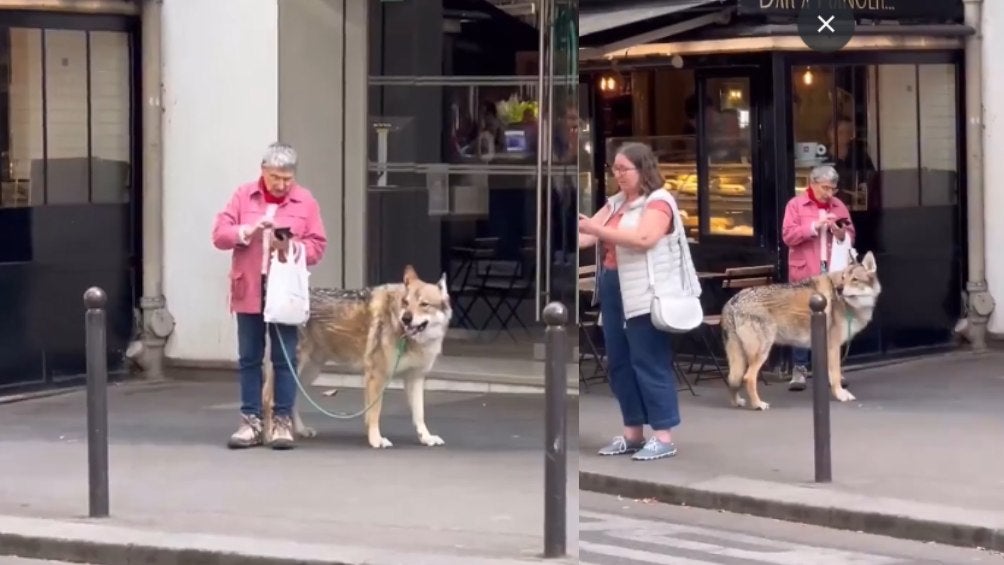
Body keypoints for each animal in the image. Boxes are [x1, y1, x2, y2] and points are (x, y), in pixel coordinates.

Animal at [267, 266, 455, 451]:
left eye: (424, 304)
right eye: (406, 303)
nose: (406, 318)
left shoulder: (415, 378)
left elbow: (419, 415)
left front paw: (426, 438)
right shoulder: (376, 376)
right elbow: (375, 414)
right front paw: (376, 440)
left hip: (308, 372)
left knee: (291, 399)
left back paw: (300, 430)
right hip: (292, 369)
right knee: (269, 399)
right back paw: (271, 437)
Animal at [722, 251, 879, 411]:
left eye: (854, 279)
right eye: (843, 278)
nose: (839, 289)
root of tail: (732, 301)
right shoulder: (833, 347)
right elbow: (835, 376)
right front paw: (841, 395)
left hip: (741, 356)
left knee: (733, 378)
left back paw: (737, 402)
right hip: (762, 352)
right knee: (748, 378)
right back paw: (758, 404)